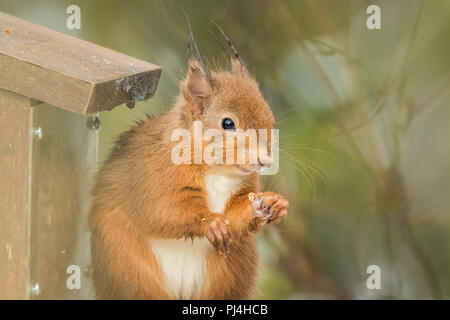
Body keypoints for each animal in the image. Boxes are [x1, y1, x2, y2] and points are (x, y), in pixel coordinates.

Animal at [89, 58, 288, 300]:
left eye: (271, 119)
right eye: (228, 123)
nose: (264, 160)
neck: (218, 172)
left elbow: (234, 216)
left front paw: (269, 203)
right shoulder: (153, 176)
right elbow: (165, 210)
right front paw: (212, 223)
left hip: (232, 267)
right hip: (123, 262)